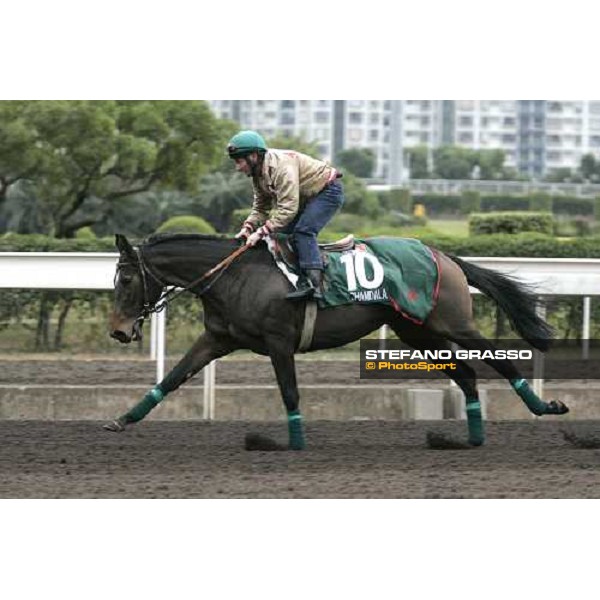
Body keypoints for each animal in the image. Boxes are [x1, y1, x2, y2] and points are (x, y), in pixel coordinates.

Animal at [105, 234, 568, 450]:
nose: (119, 331)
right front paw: (122, 420)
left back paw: (545, 406)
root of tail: (443, 255)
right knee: (467, 375)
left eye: (125, 279)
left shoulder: (279, 340)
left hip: (451, 322)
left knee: (498, 361)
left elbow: (289, 392)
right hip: (417, 331)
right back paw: (470, 438)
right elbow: (172, 379)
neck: (235, 276)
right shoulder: (217, 338)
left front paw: (292, 443)